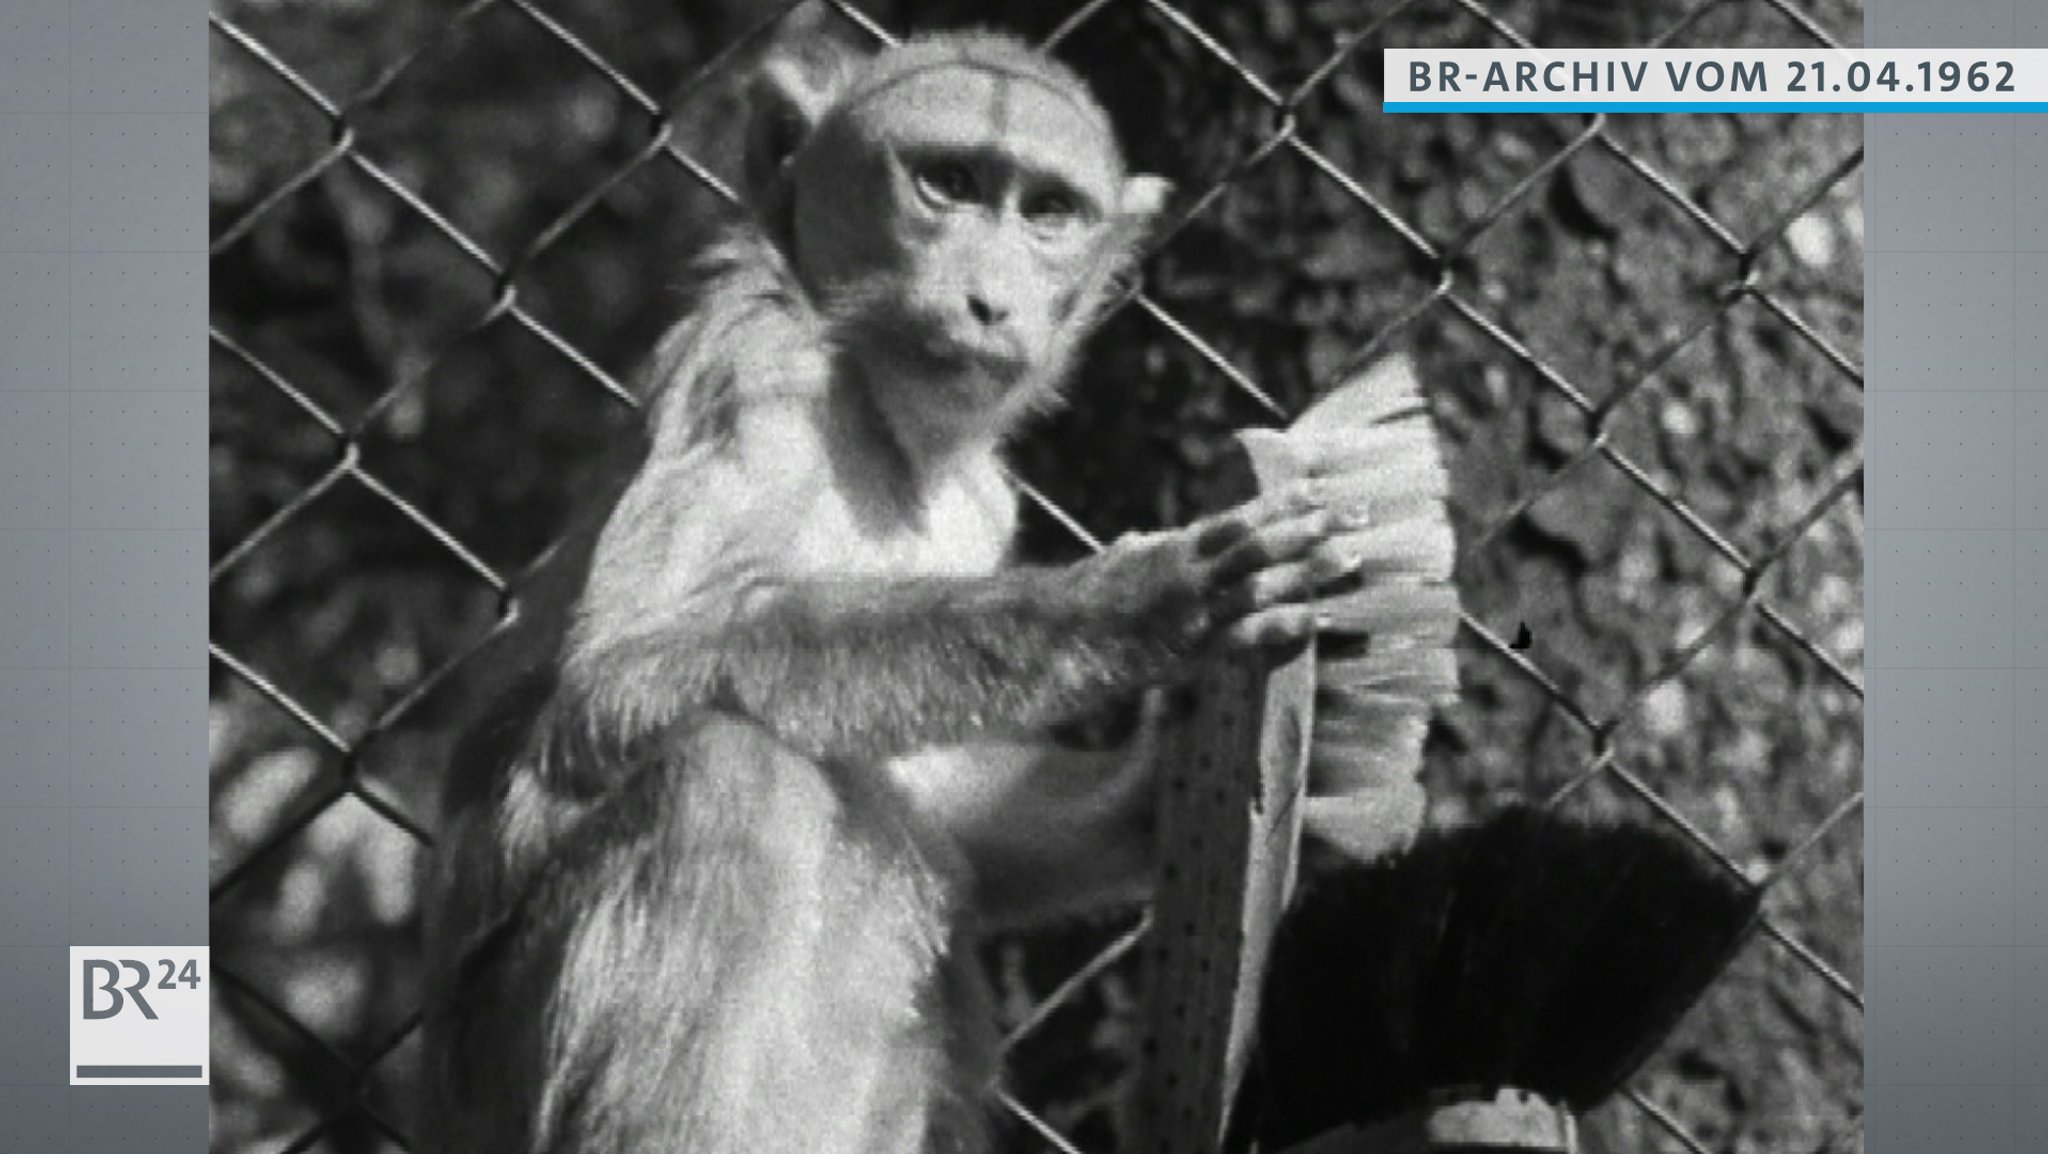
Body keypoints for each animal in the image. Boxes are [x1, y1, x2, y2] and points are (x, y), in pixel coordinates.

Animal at [421, 29, 1368, 1154]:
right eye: (947, 183)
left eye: (1048, 211)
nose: (989, 299)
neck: (880, 418)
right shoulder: (758, 362)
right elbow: (621, 667)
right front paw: (1137, 604)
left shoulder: (982, 495)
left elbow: (951, 804)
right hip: (503, 1077)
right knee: (727, 765)